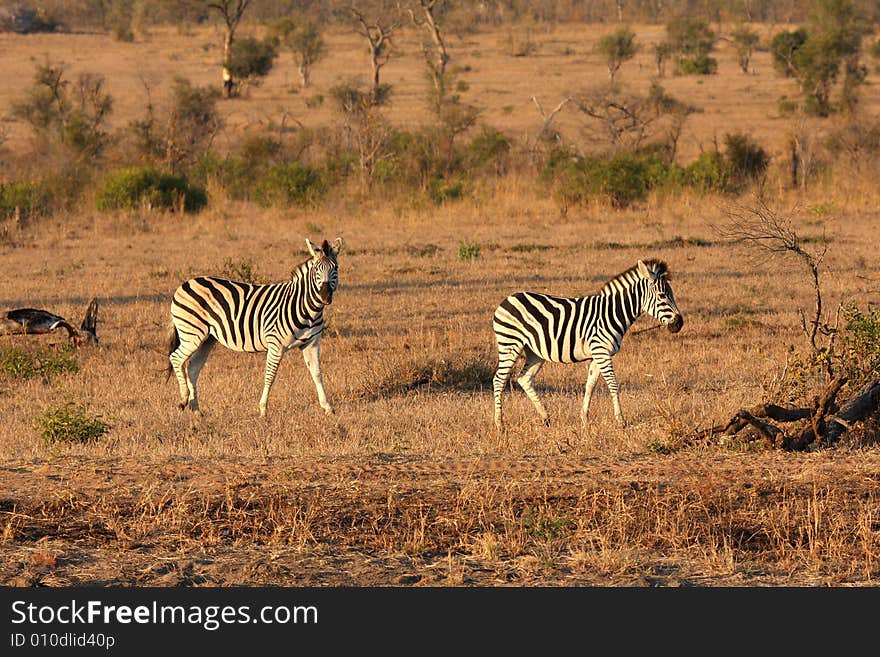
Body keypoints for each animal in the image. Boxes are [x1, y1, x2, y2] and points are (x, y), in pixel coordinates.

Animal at [165, 238, 344, 418]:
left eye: (335, 268)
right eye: (316, 270)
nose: (325, 296)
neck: (305, 308)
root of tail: (186, 283)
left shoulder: (311, 344)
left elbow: (317, 373)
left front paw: (327, 407)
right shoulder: (276, 344)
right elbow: (270, 376)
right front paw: (263, 409)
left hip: (207, 338)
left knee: (193, 368)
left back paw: (196, 409)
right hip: (192, 333)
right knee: (176, 358)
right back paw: (183, 399)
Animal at [492, 258, 684, 434]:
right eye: (662, 296)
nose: (679, 323)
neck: (612, 313)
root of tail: (508, 299)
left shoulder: (598, 355)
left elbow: (590, 385)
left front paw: (584, 420)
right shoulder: (601, 352)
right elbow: (613, 384)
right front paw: (621, 421)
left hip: (534, 352)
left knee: (524, 378)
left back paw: (545, 418)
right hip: (510, 343)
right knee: (499, 379)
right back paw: (500, 425)